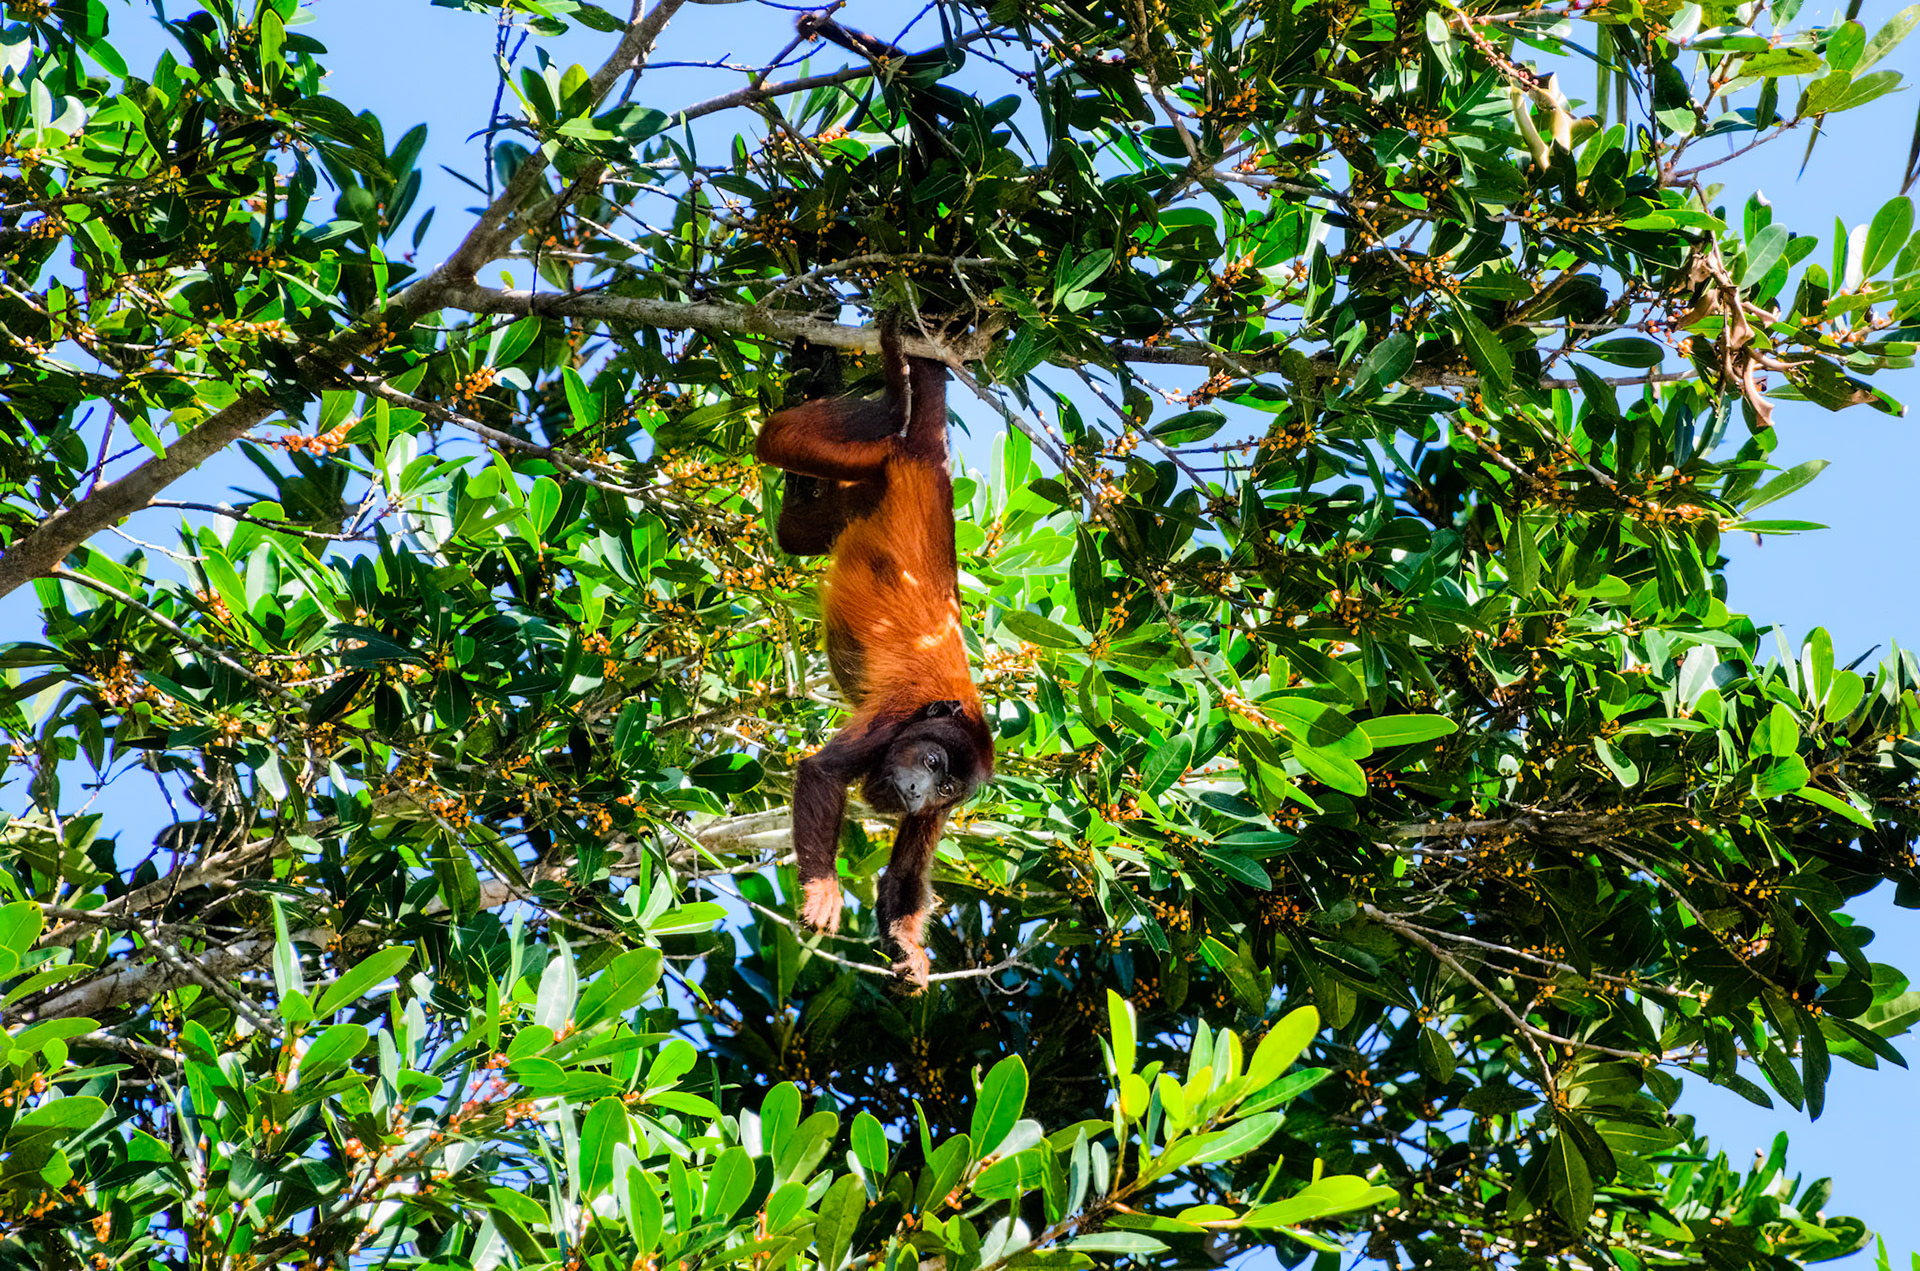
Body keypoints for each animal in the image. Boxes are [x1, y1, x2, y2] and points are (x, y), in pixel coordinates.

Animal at [754, 322, 994, 990]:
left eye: (944, 788)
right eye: (932, 761)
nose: (915, 794)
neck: (945, 714)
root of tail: (931, 468)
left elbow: (907, 873)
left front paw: (909, 951)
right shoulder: (894, 718)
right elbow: (821, 773)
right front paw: (822, 891)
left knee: (797, 534)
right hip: (881, 460)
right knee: (779, 439)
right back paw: (888, 405)